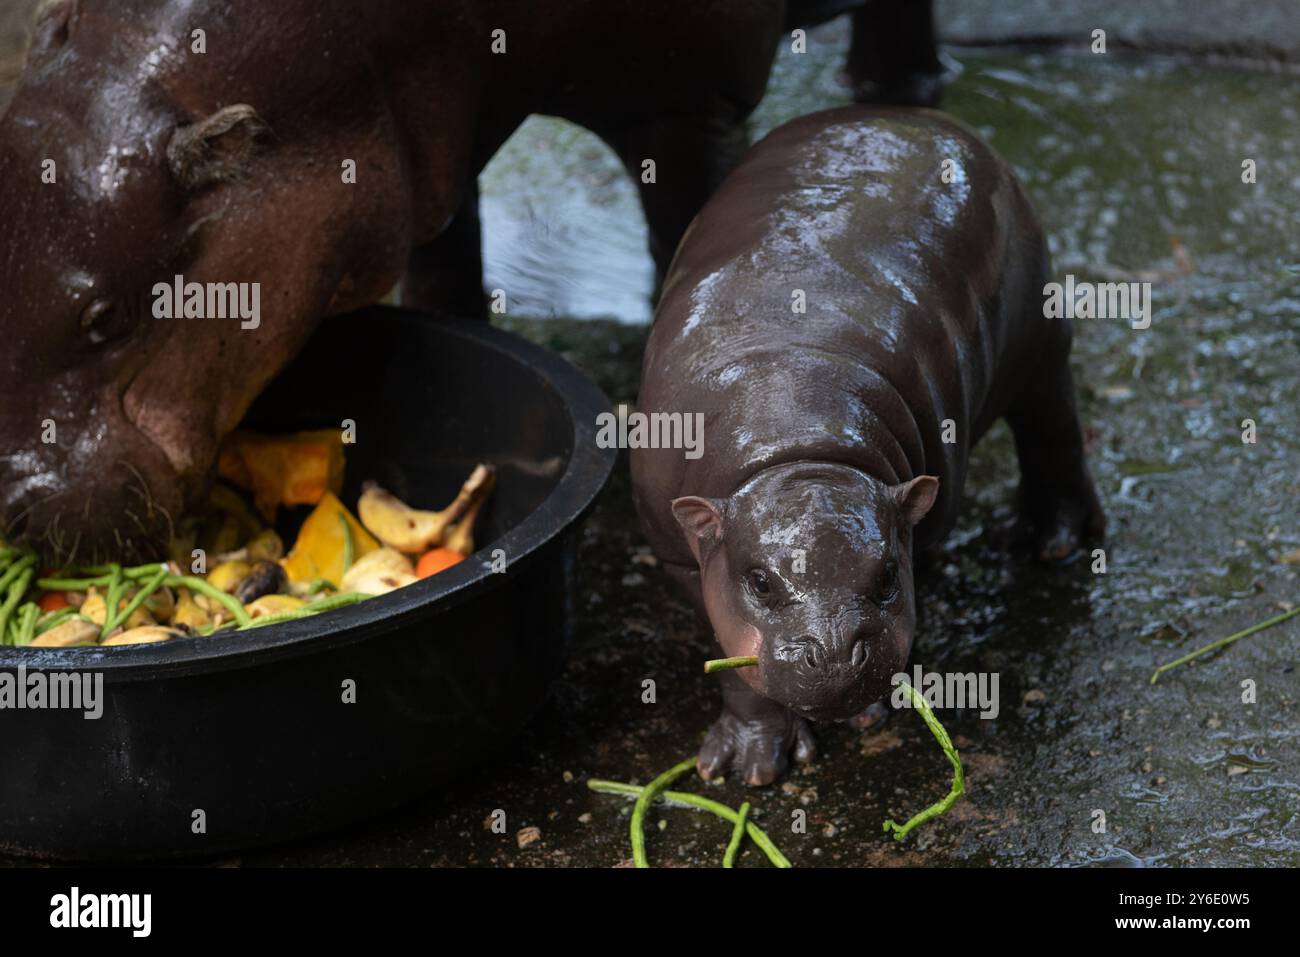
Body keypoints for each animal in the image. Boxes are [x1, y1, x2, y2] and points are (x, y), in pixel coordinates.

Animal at [629, 108, 1107, 790]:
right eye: (760, 582)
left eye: (885, 576)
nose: (831, 657)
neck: (794, 430)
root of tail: (905, 113)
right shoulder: (678, 554)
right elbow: (738, 665)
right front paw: (750, 767)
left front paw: (866, 716)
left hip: (1040, 338)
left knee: (1051, 425)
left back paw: (1049, 541)